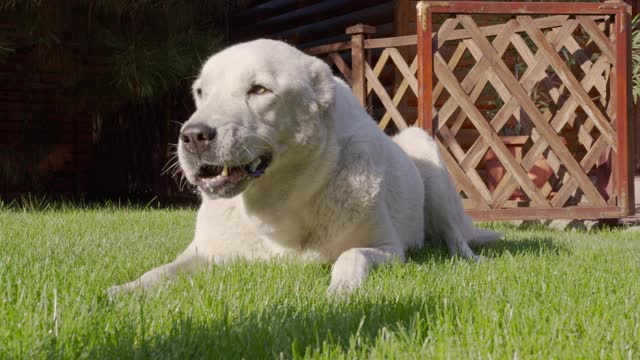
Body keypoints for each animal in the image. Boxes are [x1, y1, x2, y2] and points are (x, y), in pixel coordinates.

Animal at [109, 38, 500, 296]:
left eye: (259, 90)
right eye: (201, 93)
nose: (193, 136)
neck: (277, 205)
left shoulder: (390, 250)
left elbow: (350, 256)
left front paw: (341, 291)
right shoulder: (203, 253)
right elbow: (160, 271)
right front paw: (122, 291)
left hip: (425, 150)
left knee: (455, 237)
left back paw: (472, 259)